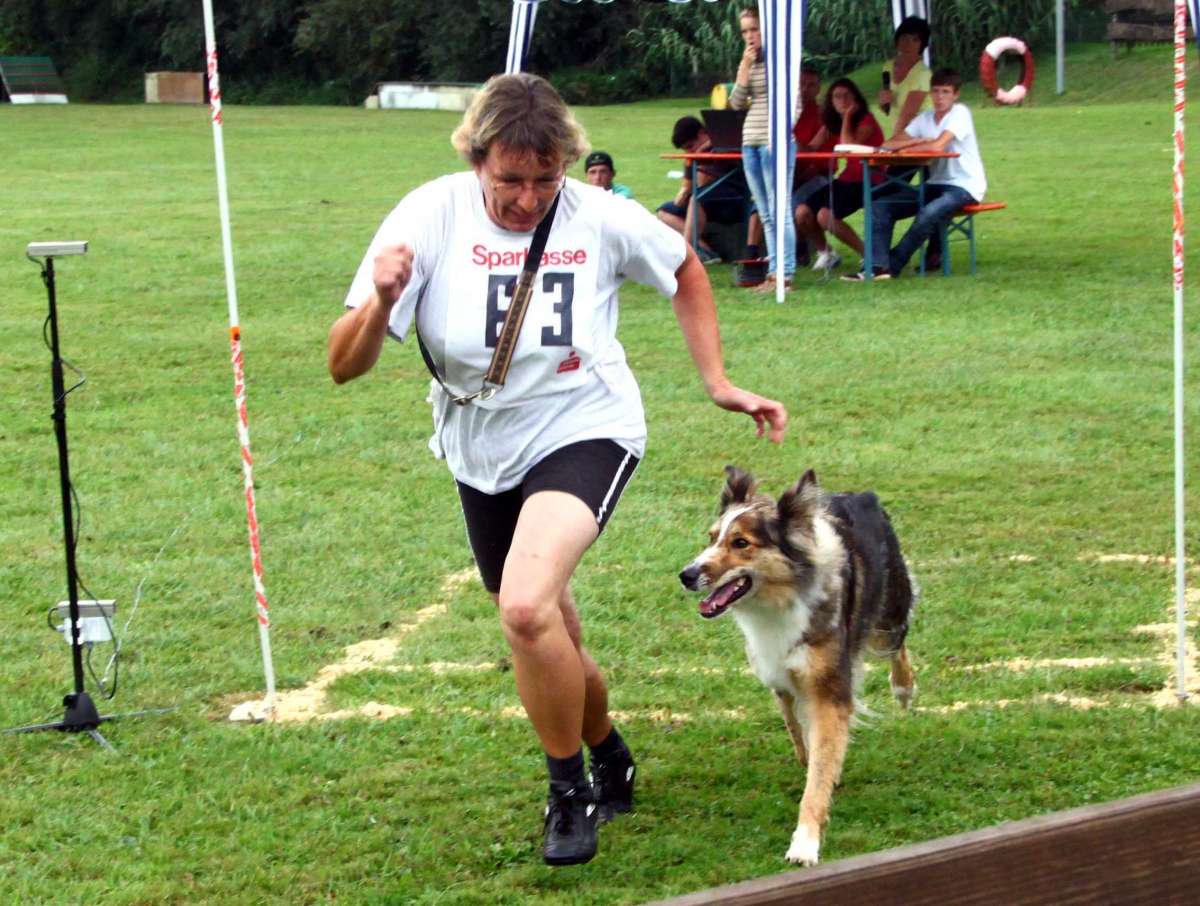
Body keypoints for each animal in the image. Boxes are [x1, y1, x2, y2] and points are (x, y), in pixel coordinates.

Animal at [676, 468, 916, 864]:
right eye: (711, 538)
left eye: (741, 543)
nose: (687, 574)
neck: (781, 599)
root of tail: (860, 494)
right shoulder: (777, 674)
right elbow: (800, 735)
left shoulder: (829, 689)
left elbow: (817, 771)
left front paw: (804, 842)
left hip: (890, 611)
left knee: (898, 641)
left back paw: (903, 689)